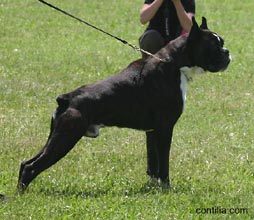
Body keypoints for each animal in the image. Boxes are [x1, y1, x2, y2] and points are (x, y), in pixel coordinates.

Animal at [17, 17, 230, 192]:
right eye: (214, 46)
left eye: (222, 43)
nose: (227, 52)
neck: (173, 64)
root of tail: (67, 98)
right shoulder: (165, 128)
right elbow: (164, 162)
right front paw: (166, 188)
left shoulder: (152, 131)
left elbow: (153, 161)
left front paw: (154, 187)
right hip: (66, 137)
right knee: (31, 167)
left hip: (56, 136)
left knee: (26, 163)